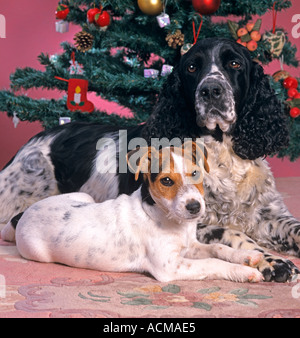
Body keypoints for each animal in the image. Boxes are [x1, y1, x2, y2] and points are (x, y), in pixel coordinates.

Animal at [9, 143, 264, 282]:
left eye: (196, 174)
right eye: (167, 181)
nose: (194, 207)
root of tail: (27, 211)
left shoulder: (190, 246)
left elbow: (218, 248)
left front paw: (245, 256)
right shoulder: (170, 266)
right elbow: (213, 262)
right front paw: (244, 271)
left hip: (83, 197)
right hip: (36, 251)